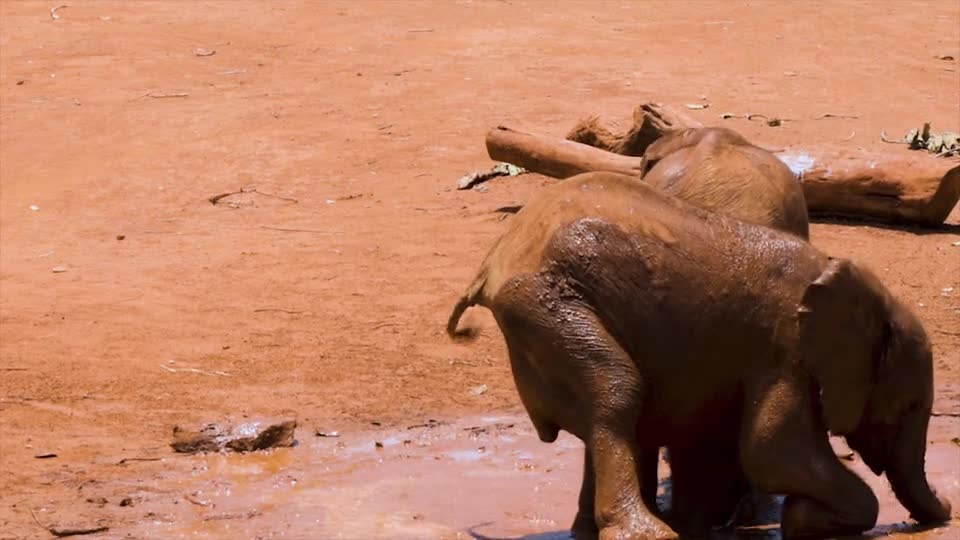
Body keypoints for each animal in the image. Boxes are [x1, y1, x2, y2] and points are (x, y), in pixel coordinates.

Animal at [446, 173, 948, 540]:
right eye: (908, 406)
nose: (945, 511)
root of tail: (494, 260)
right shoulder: (786, 352)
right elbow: (774, 451)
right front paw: (803, 521)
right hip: (547, 306)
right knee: (617, 391)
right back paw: (647, 533)